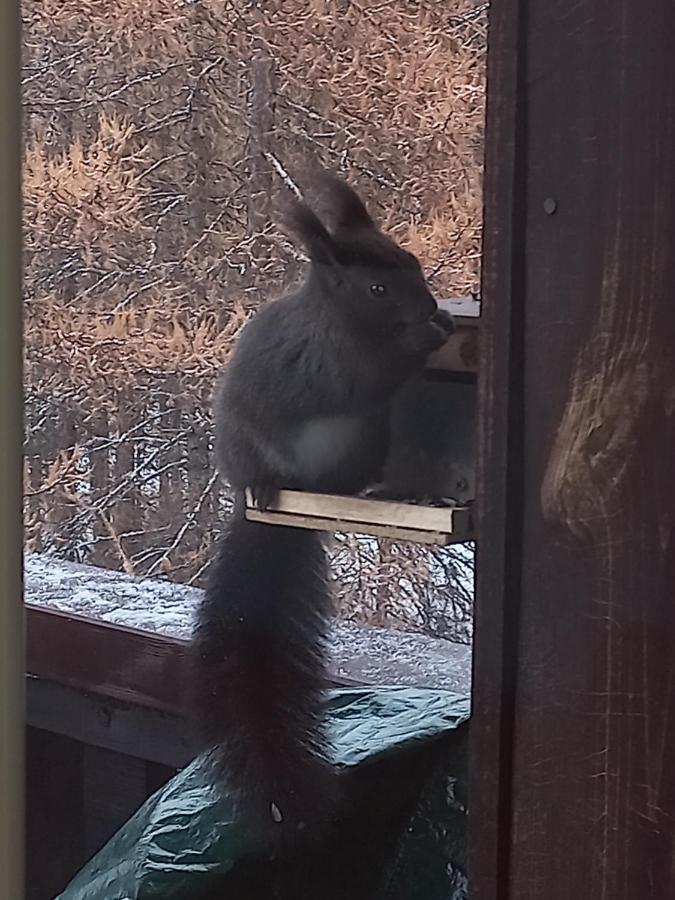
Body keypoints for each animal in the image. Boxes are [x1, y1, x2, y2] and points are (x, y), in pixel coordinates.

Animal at [191, 172, 454, 848]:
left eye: (411, 260)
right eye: (377, 288)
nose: (428, 306)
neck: (347, 321)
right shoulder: (329, 362)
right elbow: (368, 375)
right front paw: (426, 336)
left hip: (362, 443)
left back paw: (365, 489)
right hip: (249, 446)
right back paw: (264, 486)